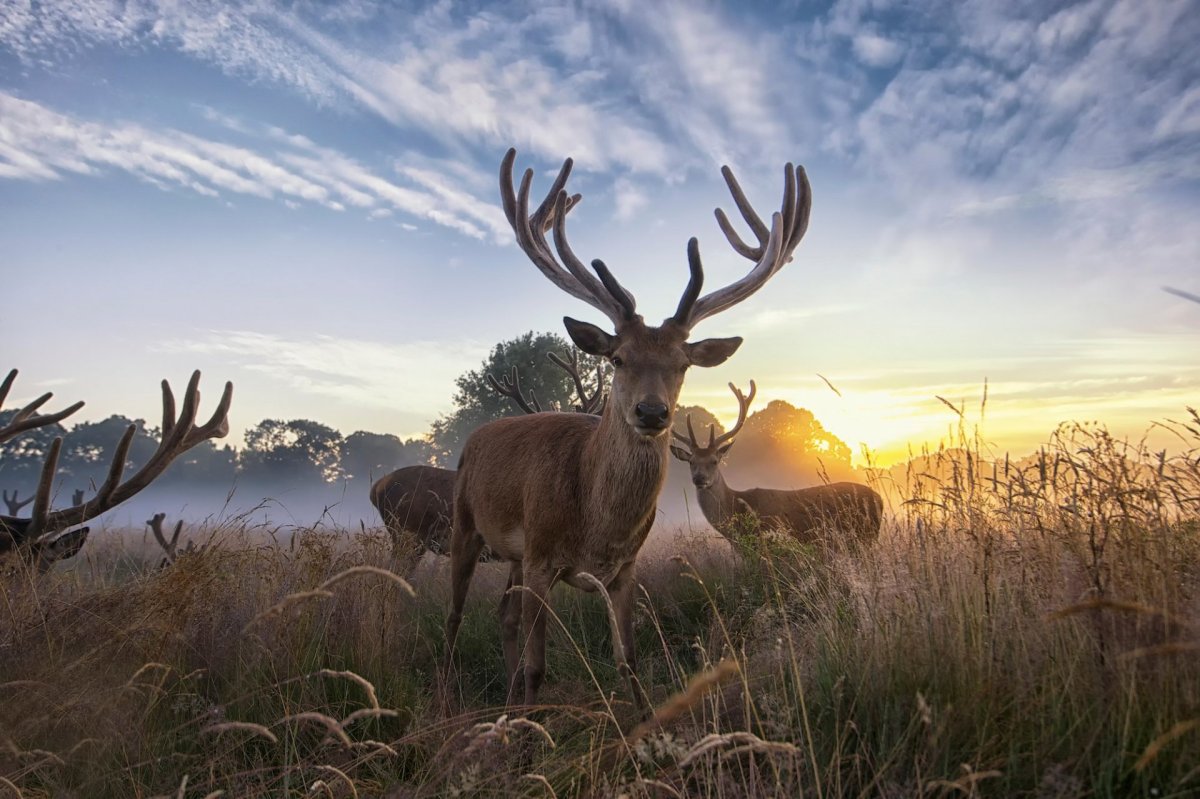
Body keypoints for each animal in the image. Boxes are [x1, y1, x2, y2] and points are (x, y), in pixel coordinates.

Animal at [444, 148, 812, 710]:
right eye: (617, 358)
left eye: (683, 364)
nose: (652, 413)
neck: (596, 523)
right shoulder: (542, 555)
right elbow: (537, 667)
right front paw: (529, 726)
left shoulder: (624, 570)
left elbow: (630, 662)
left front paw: (637, 724)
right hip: (466, 524)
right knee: (455, 616)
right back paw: (456, 694)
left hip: (512, 555)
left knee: (503, 615)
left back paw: (507, 701)